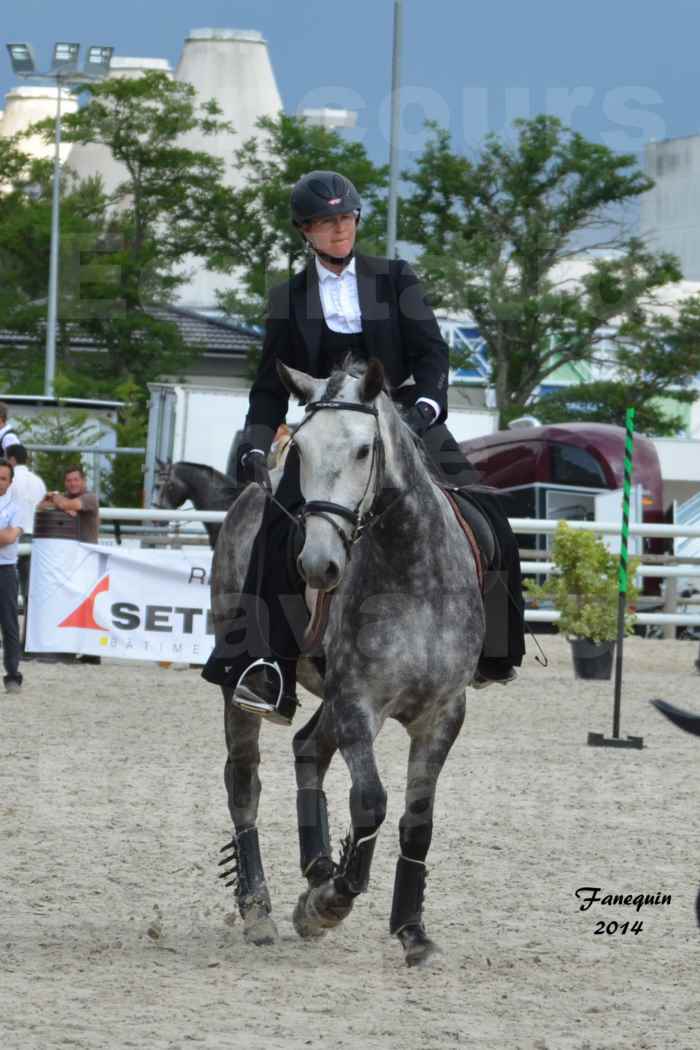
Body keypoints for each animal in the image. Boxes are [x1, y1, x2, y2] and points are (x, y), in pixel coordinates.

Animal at [211, 361, 486, 965]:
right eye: (301, 450)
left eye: (364, 450)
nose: (318, 565)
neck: (410, 575)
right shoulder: (360, 702)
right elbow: (370, 802)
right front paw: (328, 904)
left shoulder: (442, 714)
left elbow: (417, 821)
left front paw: (411, 930)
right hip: (247, 691)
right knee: (243, 784)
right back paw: (260, 908)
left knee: (308, 749)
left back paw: (317, 866)